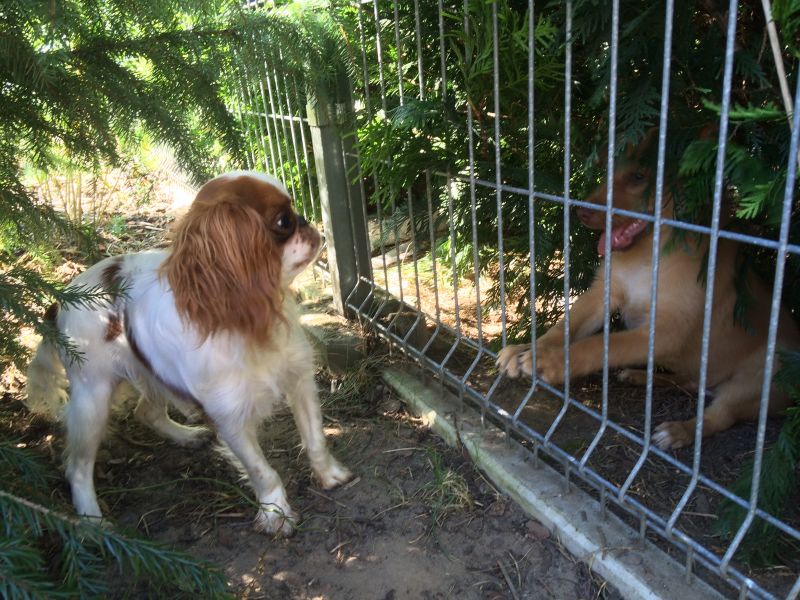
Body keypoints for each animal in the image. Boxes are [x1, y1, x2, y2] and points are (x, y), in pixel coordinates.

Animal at [26, 171, 352, 535]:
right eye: (283, 221)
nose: (309, 222)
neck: (244, 320)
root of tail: (59, 301)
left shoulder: (299, 380)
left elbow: (315, 439)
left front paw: (330, 475)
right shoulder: (229, 419)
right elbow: (262, 471)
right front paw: (275, 513)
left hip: (150, 371)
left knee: (146, 413)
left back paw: (185, 436)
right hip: (91, 401)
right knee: (78, 467)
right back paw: (92, 520)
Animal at [496, 151, 800, 450]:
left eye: (639, 176)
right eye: (606, 169)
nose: (580, 211)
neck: (649, 255)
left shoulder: (667, 330)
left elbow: (604, 344)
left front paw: (554, 361)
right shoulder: (603, 293)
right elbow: (565, 326)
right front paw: (529, 348)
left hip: (766, 373)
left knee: (720, 415)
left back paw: (679, 431)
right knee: (689, 382)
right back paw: (639, 376)